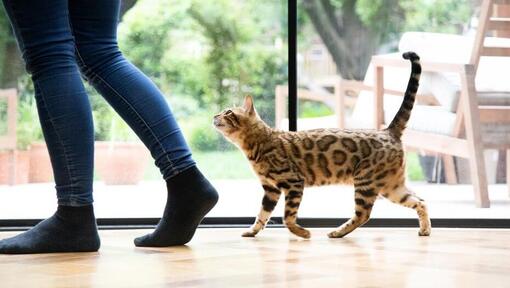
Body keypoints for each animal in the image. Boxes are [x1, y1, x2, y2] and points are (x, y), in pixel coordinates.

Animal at [212, 51, 430, 238]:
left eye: (228, 112)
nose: (214, 115)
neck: (259, 143)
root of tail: (388, 130)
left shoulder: (293, 182)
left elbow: (287, 218)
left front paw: (302, 233)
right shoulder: (271, 189)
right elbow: (262, 215)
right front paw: (252, 231)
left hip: (366, 181)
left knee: (363, 214)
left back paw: (338, 232)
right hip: (390, 186)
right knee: (420, 201)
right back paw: (425, 229)